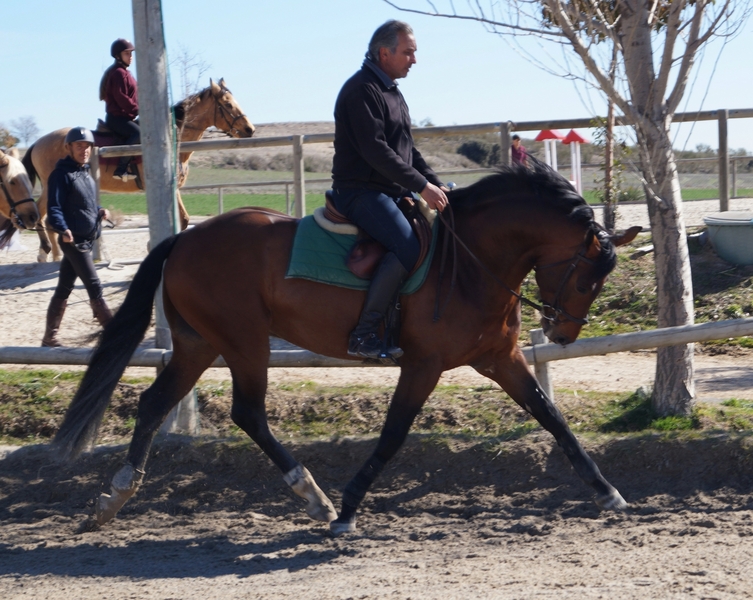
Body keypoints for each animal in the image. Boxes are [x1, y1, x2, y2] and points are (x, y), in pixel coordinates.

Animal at [22, 78, 255, 262]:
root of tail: (38, 142)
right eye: (228, 104)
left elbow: (185, 220)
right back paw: (50, 253)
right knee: (43, 216)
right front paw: (152, 244)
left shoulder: (174, 188)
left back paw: (51, 252)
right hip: (52, 186)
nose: (249, 129)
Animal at [53, 163, 641, 535]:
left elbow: (552, 417)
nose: (564, 335)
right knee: (248, 412)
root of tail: (185, 238)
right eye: (587, 277)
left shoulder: (501, 359)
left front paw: (606, 490)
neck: (472, 260)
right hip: (243, 341)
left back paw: (113, 498)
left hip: (200, 344)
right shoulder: (423, 365)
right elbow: (392, 436)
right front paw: (349, 510)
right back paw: (314, 498)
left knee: (154, 404)